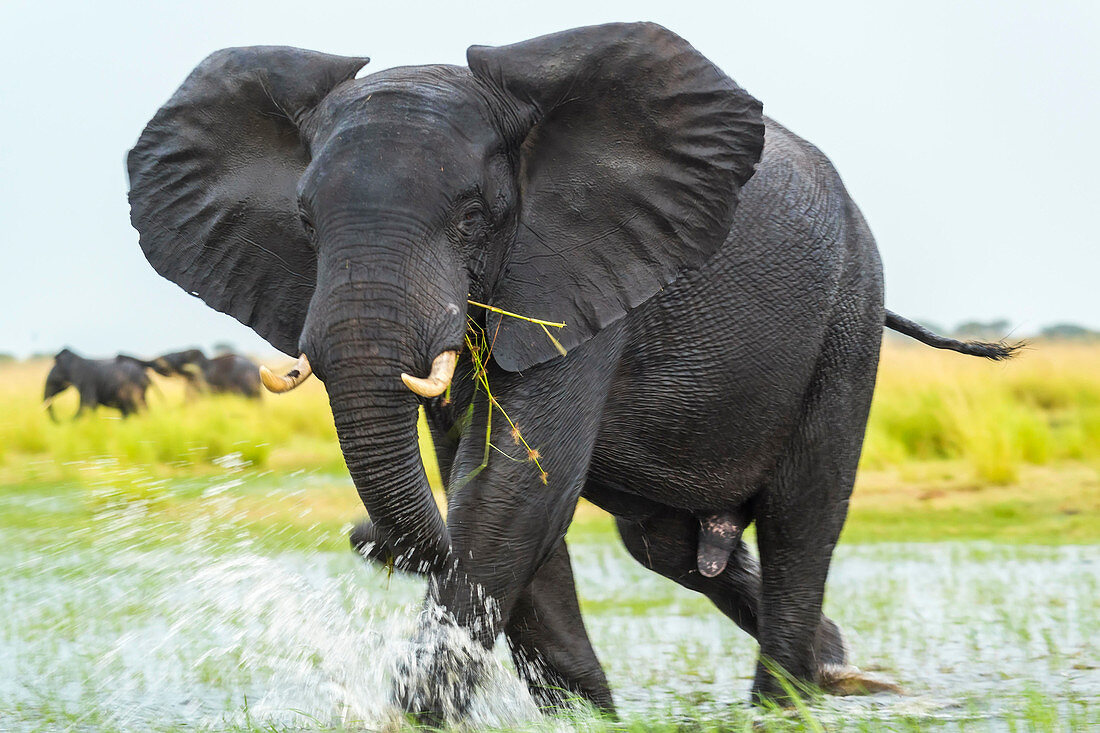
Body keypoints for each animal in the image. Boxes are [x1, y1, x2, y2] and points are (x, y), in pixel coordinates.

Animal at [130, 24, 1020, 717]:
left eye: (473, 217)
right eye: (305, 221)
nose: (362, 536)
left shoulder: (576, 261)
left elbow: (513, 488)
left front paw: (420, 709)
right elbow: (491, 491)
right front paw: (586, 713)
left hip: (846, 317)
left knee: (803, 519)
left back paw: (791, 700)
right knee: (670, 548)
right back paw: (837, 669)